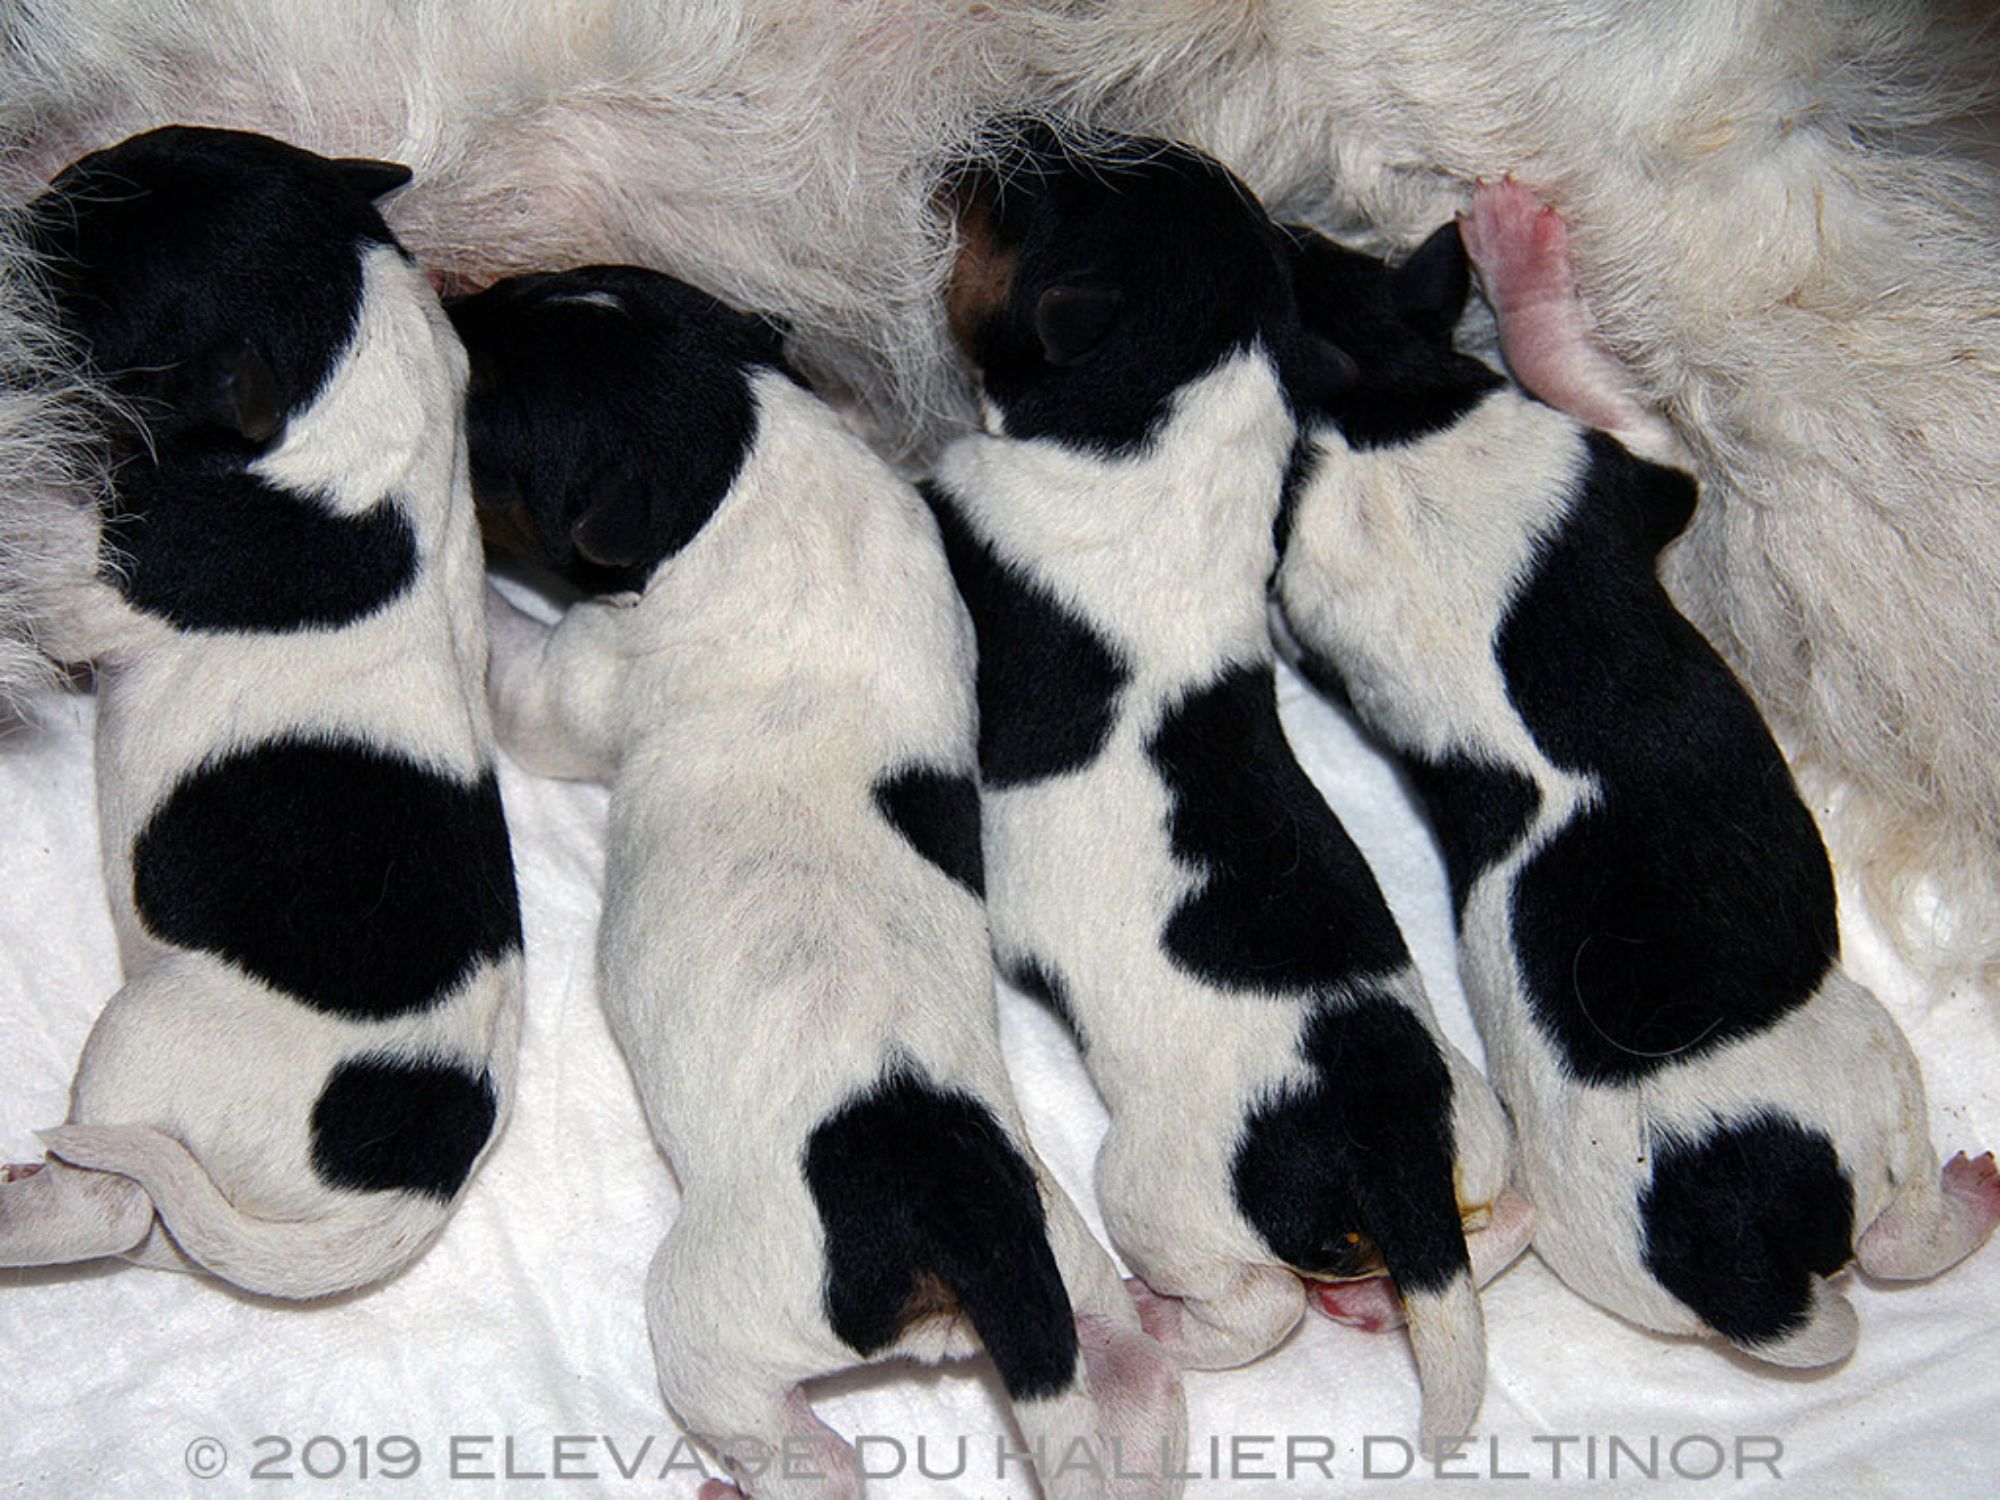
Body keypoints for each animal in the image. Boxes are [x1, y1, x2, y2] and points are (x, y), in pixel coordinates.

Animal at [0, 126, 523, 1299]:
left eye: (73, 272)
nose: (17, 212)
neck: (358, 355)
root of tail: (406, 1195)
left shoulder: (106, 587)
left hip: (151, 1033)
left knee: (105, 1205)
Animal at [450, 263, 1185, 1500]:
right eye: (538, 283)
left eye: (488, 405)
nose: (441, 296)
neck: (750, 452)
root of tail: (965, 1234)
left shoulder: (583, 675)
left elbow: (526, 677)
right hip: (1076, 1268)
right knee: (1128, 1379)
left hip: (717, 1318)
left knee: (804, 1456)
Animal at [927, 128, 1523, 1449]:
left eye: (1027, 200)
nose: (991, 129)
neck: (1180, 428)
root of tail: (1391, 1146)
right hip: (1479, 1138)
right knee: (1499, 1231)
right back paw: (1384, 1296)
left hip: (1162, 1184)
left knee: (1258, 1305)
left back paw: (1170, 1322)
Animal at [1270, 184, 2000, 1366]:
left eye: (1300, 245)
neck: (1372, 401)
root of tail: (1742, 1277)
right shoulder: (1629, 459)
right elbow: (1593, 386)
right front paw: (1520, 258)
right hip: (1870, 1067)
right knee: (1898, 1238)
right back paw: (1965, 1201)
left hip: (1577, 1238)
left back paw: (1371, 1299)